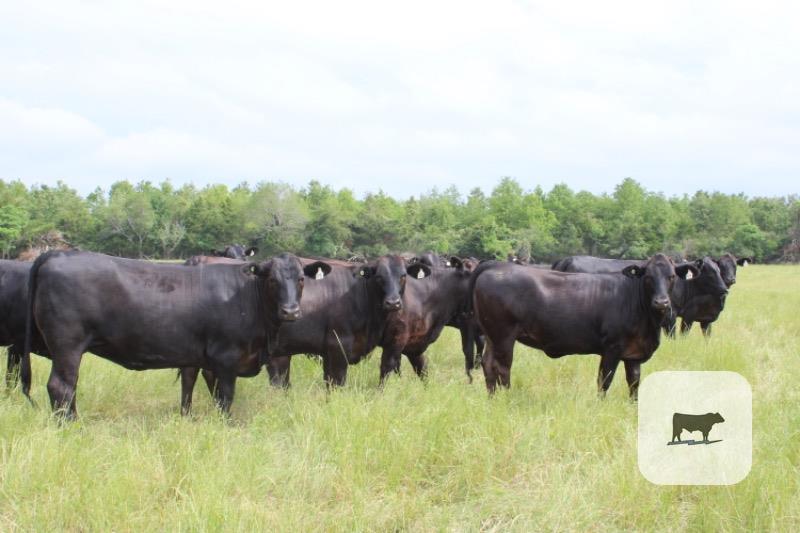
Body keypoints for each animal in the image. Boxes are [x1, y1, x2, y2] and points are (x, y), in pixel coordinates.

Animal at [21, 250, 328, 417]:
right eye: (272, 280)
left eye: (301, 279)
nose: (291, 311)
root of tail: (56, 253)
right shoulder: (226, 358)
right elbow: (225, 398)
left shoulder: (204, 359)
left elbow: (203, 391)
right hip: (67, 345)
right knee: (61, 387)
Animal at [470, 254, 697, 399]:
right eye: (648, 277)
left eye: (671, 276)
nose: (661, 302)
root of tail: (496, 266)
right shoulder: (612, 348)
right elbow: (604, 381)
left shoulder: (633, 354)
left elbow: (634, 383)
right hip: (504, 336)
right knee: (502, 367)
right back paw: (507, 398)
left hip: (492, 335)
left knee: (488, 364)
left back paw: (492, 398)